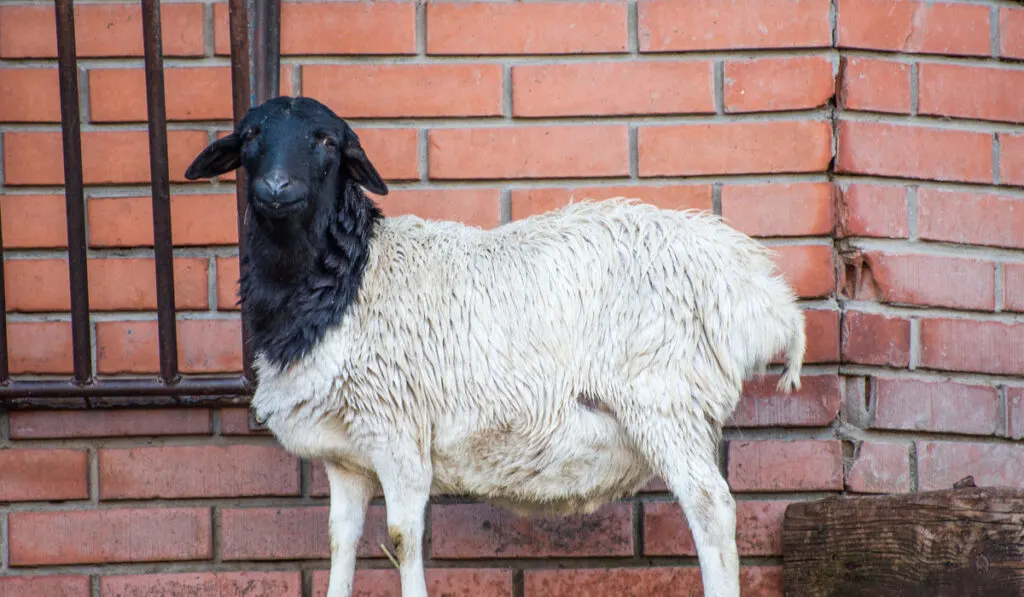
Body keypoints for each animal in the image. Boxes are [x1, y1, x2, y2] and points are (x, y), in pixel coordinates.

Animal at [184, 95, 806, 597]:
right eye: (250, 136)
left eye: (327, 141)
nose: (277, 190)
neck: (345, 278)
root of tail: (757, 288)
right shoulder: (347, 455)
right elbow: (341, 543)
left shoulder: (399, 432)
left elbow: (403, 539)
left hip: (666, 399)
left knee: (713, 510)